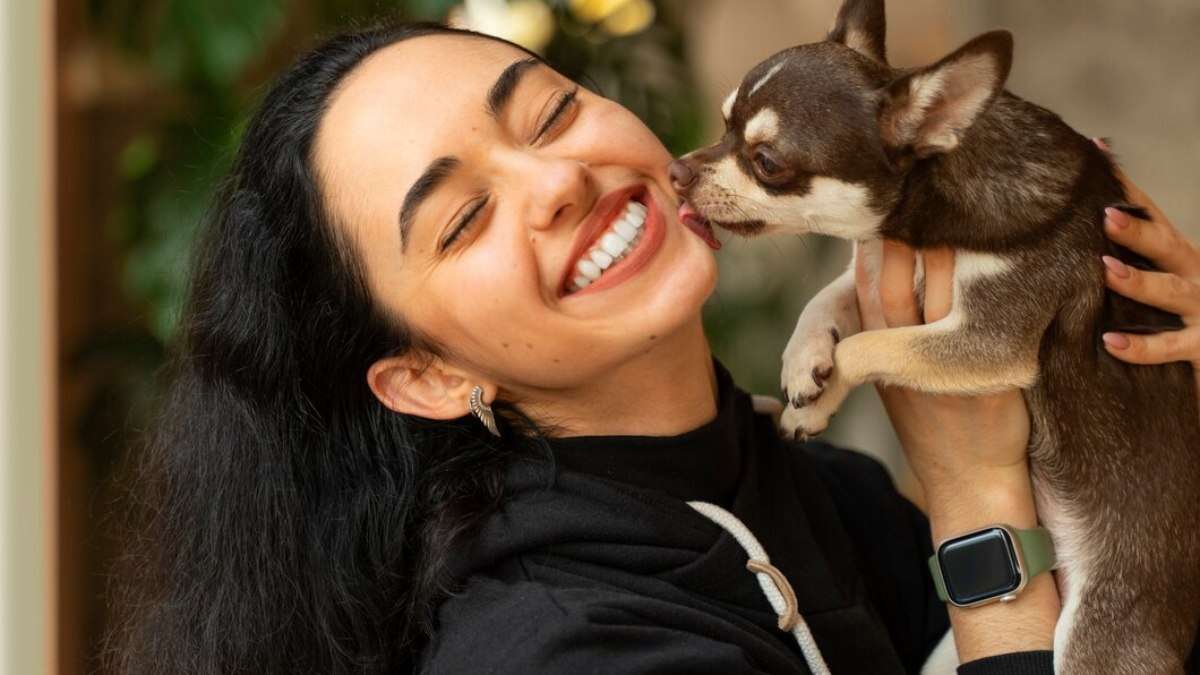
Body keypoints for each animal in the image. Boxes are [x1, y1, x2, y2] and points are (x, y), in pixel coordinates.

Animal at [676, 2, 1200, 667]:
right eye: (723, 126)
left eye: (767, 163)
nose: (675, 169)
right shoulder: (875, 267)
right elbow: (828, 299)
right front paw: (803, 368)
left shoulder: (988, 340)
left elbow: (867, 344)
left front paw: (823, 386)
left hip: (1093, 639)